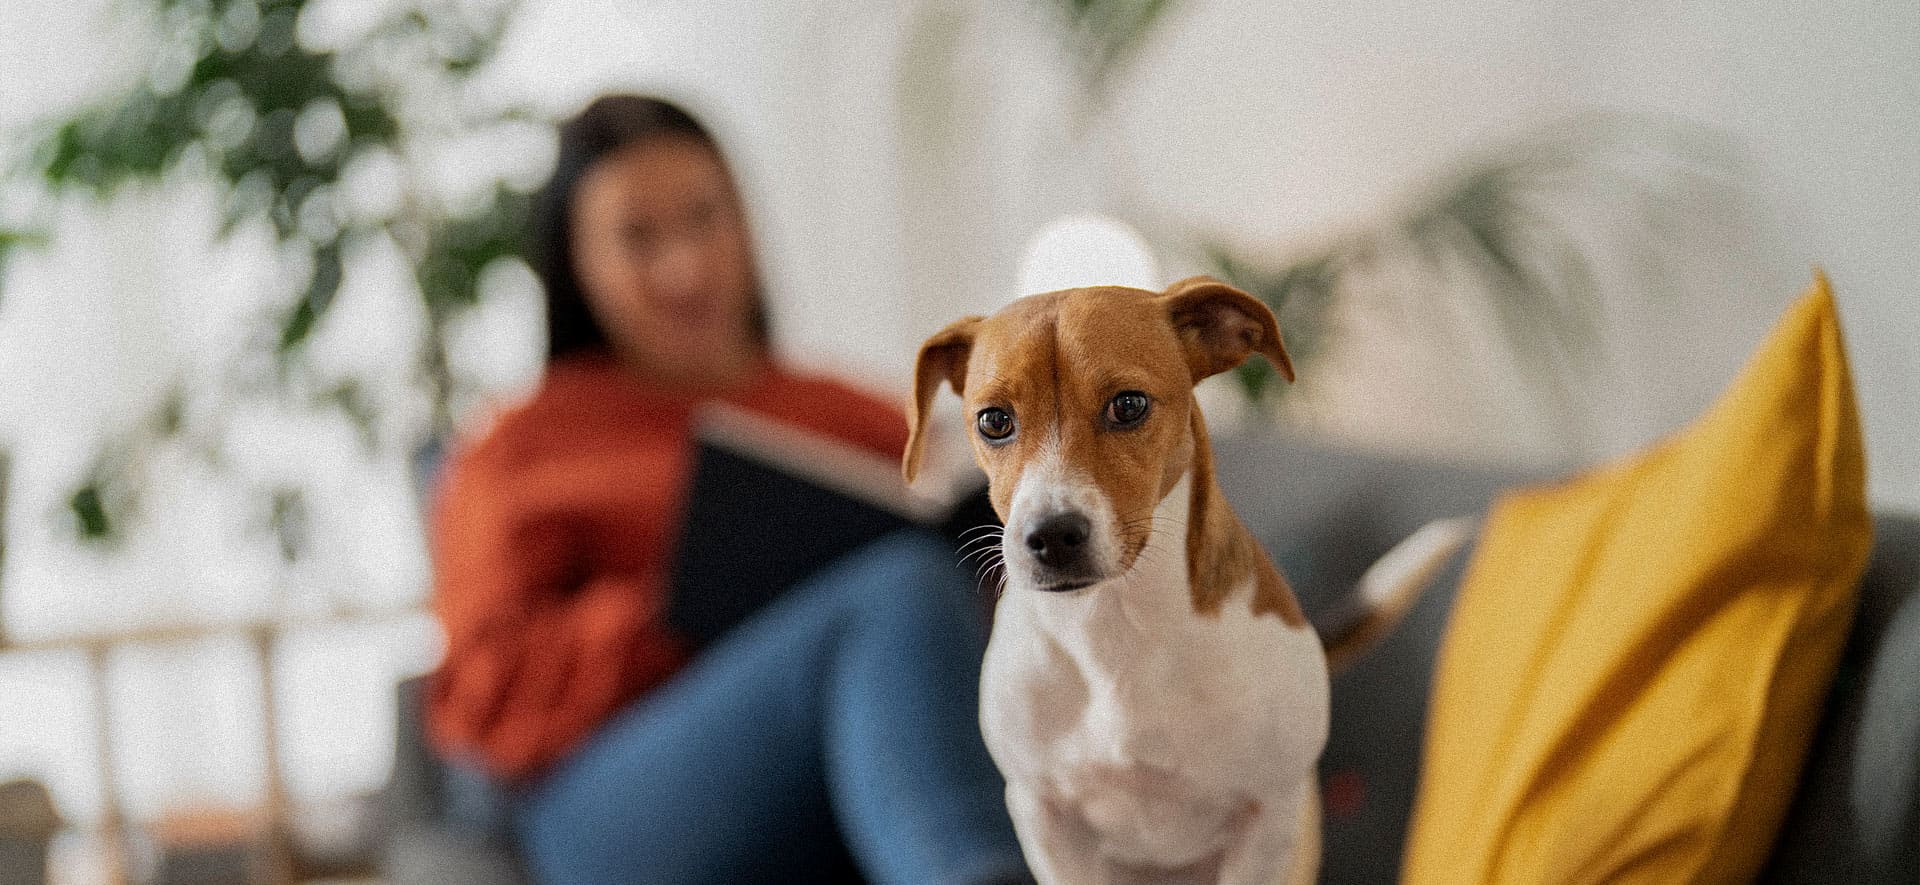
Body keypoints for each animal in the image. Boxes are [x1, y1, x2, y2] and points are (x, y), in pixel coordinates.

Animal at [902, 276, 1328, 883]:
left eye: (1128, 405)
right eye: (994, 421)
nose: (1052, 535)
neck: (1110, 628)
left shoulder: (1267, 818)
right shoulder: (1044, 817)